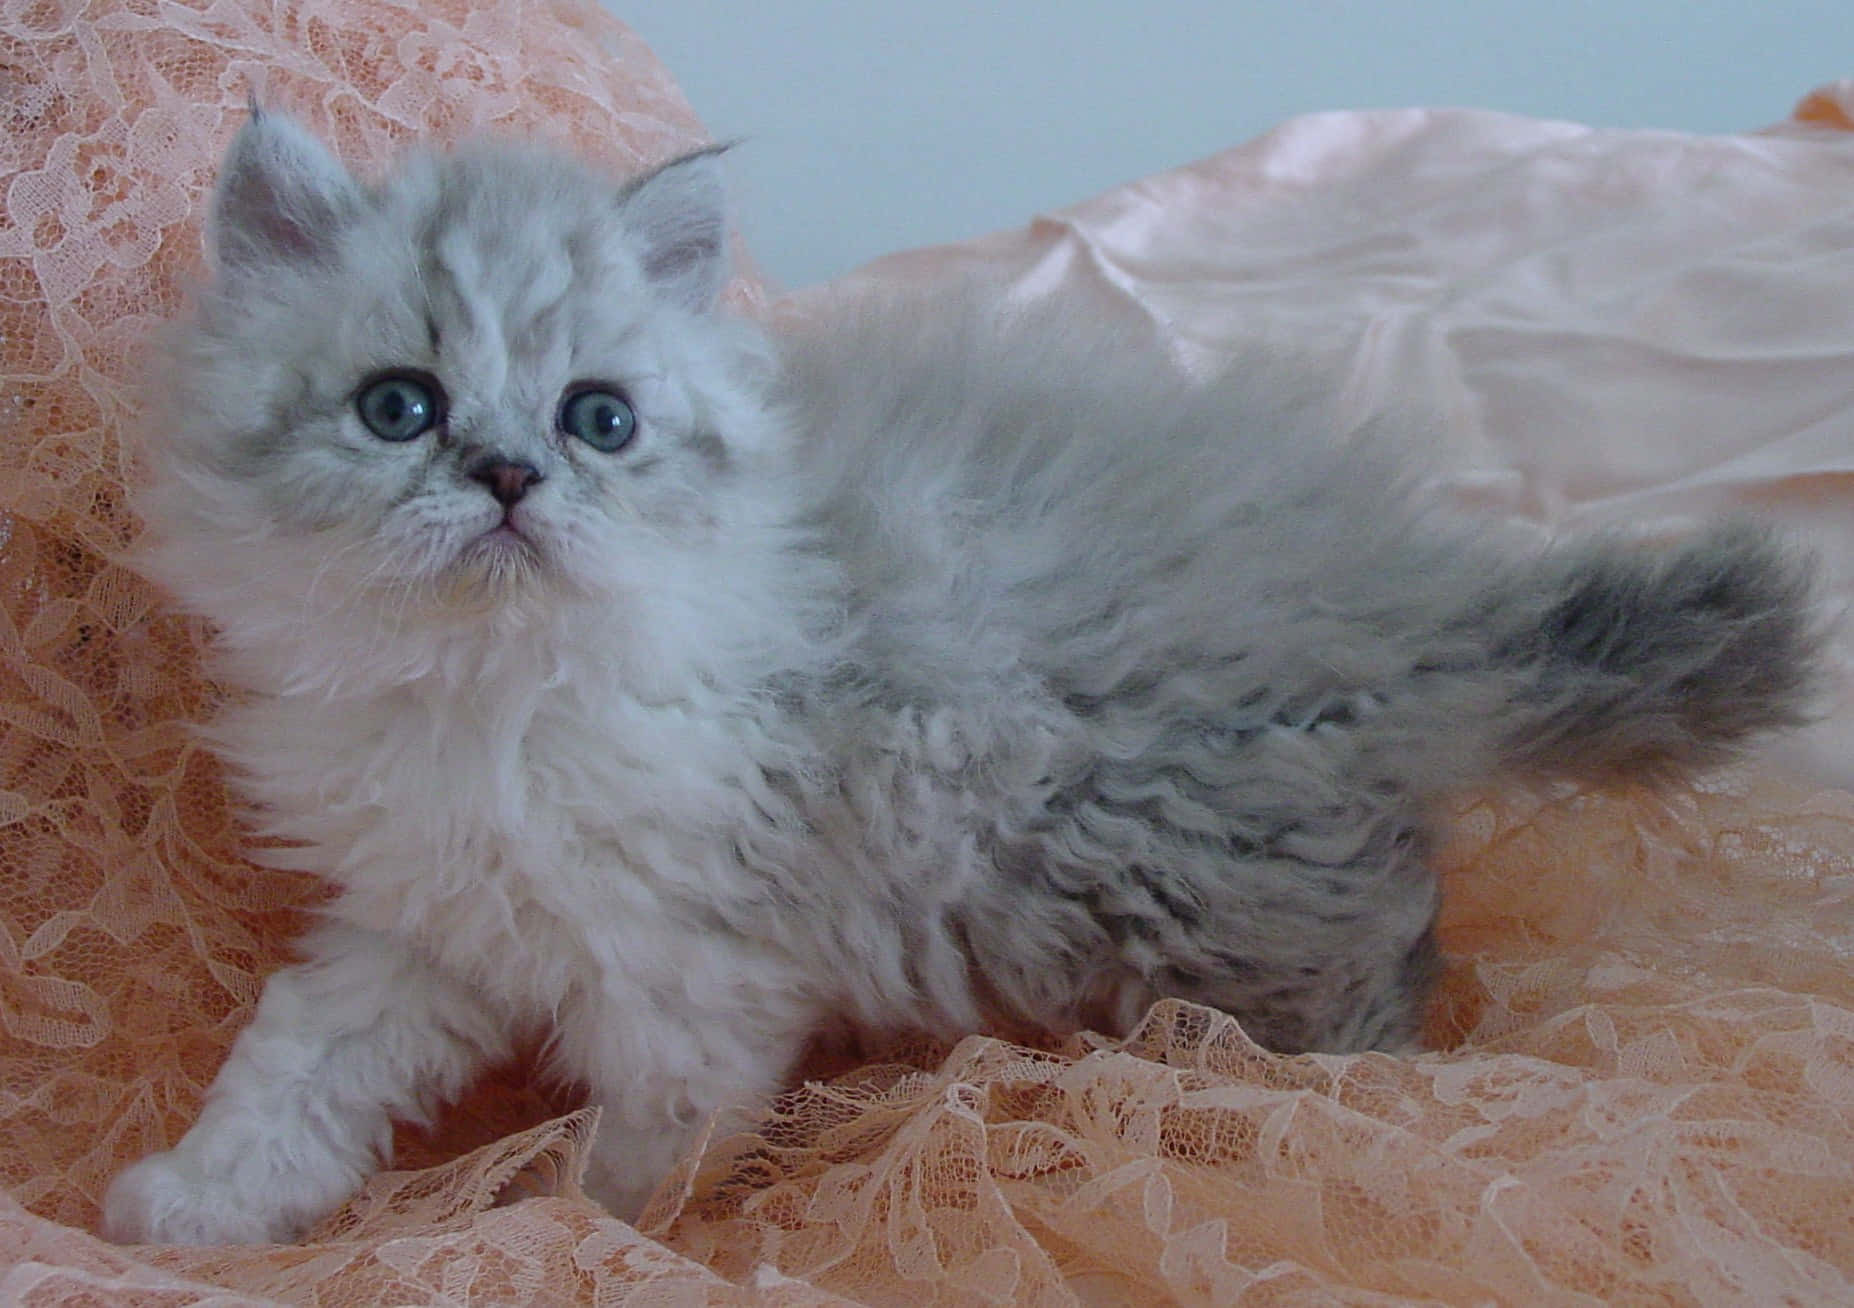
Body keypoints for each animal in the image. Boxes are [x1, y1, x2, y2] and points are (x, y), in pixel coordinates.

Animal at [105, 112, 1824, 1245]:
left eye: (601, 420)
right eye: (399, 406)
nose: (513, 477)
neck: (495, 693)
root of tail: (1395, 594)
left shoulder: (691, 983)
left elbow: (642, 1170)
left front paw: (585, 1246)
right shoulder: (432, 919)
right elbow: (296, 1072)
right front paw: (189, 1209)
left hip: (1199, 884)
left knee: (1374, 978)